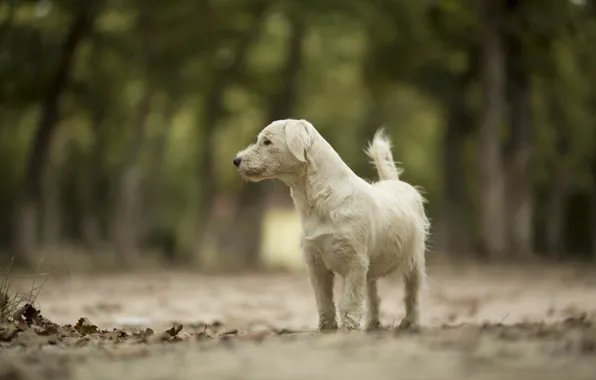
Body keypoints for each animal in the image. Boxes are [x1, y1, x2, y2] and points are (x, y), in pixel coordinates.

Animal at [235, 119, 430, 332]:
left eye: (267, 142)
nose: (236, 160)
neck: (320, 200)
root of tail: (396, 182)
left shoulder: (355, 262)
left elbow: (349, 301)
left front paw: (348, 327)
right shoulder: (316, 262)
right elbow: (324, 300)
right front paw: (327, 327)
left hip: (414, 262)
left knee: (412, 294)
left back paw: (410, 322)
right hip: (371, 269)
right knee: (373, 296)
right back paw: (373, 324)